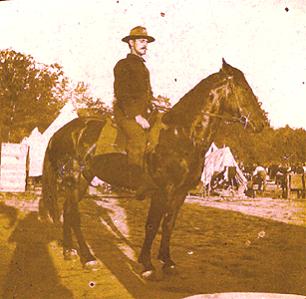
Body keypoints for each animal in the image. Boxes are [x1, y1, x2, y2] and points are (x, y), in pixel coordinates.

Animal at [40, 59, 268, 280]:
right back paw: (87, 257)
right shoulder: (162, 191)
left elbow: (168, 225)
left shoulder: (180, 193)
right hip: (74, 179)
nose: (262, 123)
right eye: (243, 88)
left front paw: (167, 262)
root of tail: (61, 133)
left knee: (68, 211)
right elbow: (152, 225)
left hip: (83, 180)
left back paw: (69, 250)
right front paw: (147, 265)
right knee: (74, 215)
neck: (182, 136)